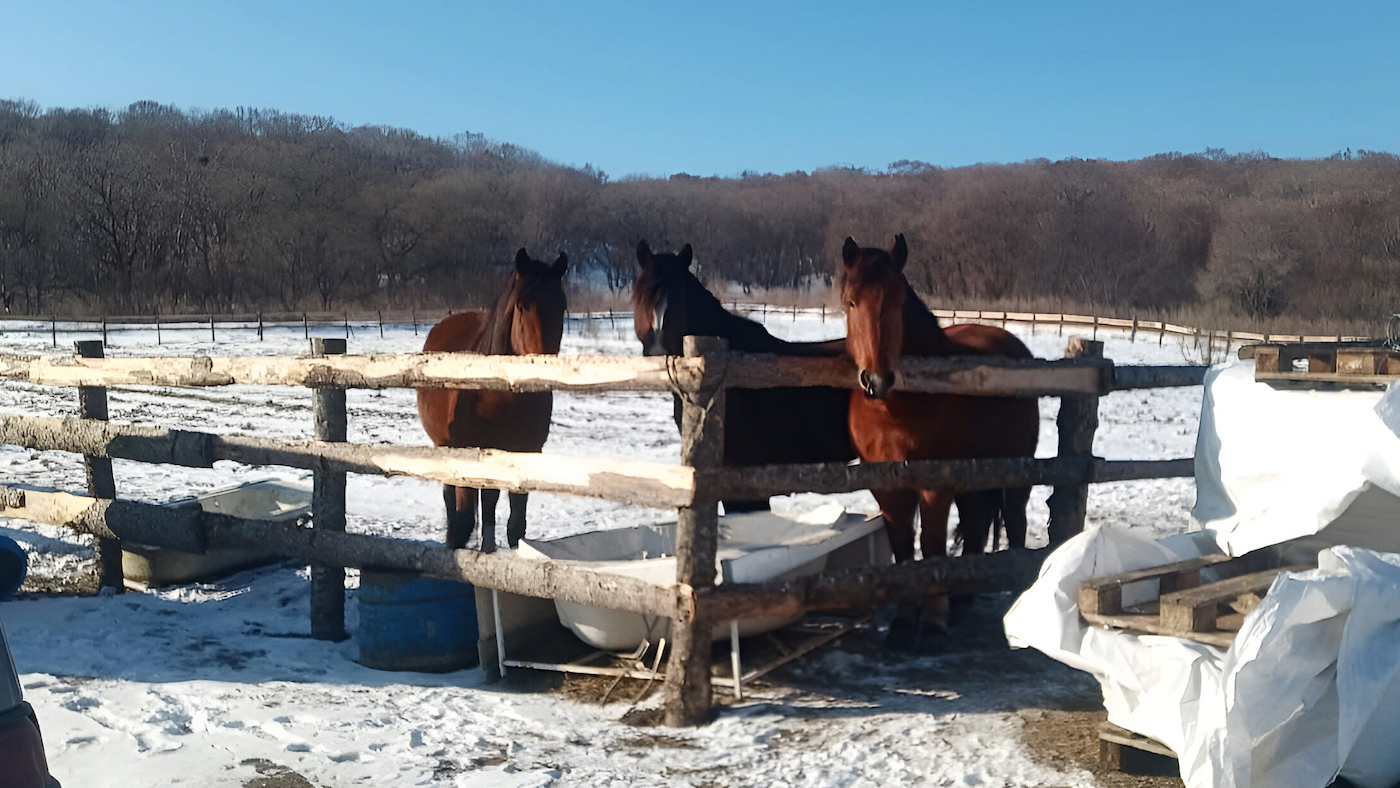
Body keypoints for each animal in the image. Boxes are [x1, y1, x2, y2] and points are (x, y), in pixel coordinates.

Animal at [414, 249, 568, 551]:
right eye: (522, 305)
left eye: (563, 306)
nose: (544, 368)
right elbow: (463, 520)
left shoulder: (525, 453)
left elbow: (515, 526)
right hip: (446, 447)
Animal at [840, 230, 1041, 565]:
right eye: (851, 302)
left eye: (898, 301)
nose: (877, 380)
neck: (893, 414)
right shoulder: (889, 491)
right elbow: (903, 550)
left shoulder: (936, 488)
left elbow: (932, 548)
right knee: (976, 528)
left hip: (1015, 473)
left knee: (1014, 524)